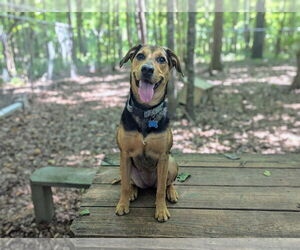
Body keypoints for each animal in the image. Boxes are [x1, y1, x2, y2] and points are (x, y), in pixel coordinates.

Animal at [115, 44, 183, 222]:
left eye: (161, 59)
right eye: (140, 56)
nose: (147, 69)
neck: (145, 111)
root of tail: (147, 184)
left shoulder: (163, 156)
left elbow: (160, 190)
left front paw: (161, 210)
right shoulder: (124, 153)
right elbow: (124, 186)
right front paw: (122, 204)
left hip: (171, 163)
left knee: (166, 184)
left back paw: (171, 192)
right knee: (131, 183)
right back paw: (133, 192)